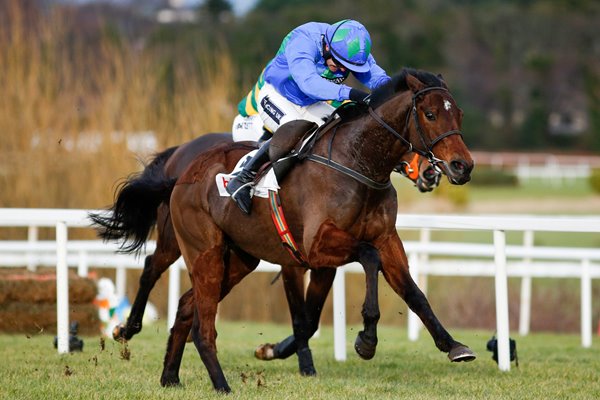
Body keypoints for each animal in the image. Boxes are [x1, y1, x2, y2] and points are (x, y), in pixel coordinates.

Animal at [163, 69, 474, 390]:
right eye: (430, 114)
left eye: (459, 114)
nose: (461, 166)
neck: (358, 162)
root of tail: (187, 170)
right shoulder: (314, 247)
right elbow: (367, 258)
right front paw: (366, 340)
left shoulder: (385, 238)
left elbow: (413, 292)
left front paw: (453, 345)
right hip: (205, 254)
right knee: (202, 326)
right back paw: (221, 384)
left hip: (237, 259)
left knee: (186, 307)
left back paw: (170, 376)